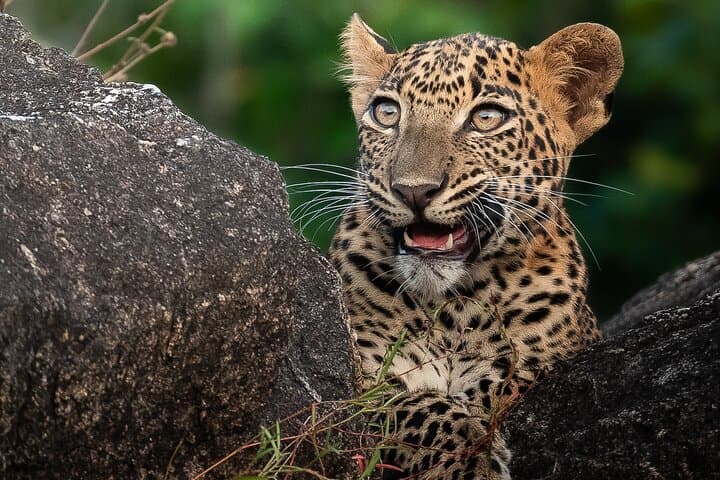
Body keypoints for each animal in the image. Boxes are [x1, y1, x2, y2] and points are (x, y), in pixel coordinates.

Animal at [327, 14, 623, 479]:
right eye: (387, 113)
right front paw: (469, 458)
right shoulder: (364, 374)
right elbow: (414, 404)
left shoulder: (539, 362)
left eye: (485, 118)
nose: (413, 190)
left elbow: (498, 385)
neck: (452, 310)